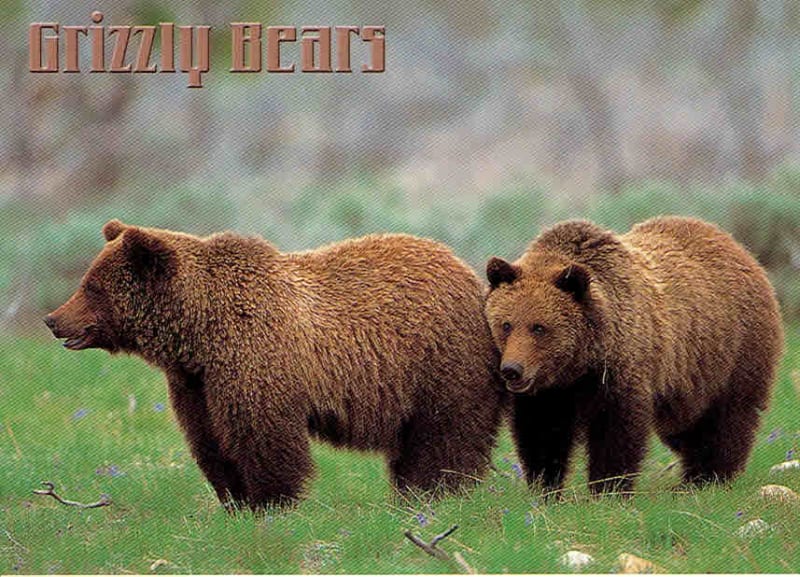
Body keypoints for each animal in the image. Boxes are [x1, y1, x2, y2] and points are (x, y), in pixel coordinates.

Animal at [45, 220, 506, 510]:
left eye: (92, 286)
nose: (53, 318)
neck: (200, 333)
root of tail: (468, 273)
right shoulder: (197, 384)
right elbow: (211, 442)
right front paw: (234, 501)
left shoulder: (255, 358)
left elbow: (262, 437)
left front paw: (271, 501)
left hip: (440, 361)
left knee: (446, 433)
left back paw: (435, 491)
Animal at [484, 216, 783, 495]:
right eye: (506, 324)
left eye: (539, 327)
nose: (512, 369)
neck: (579, 365)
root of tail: (738, 248)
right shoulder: (549, 393)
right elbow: (541, 433)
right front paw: (545, 487)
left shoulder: (620, 369)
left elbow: (616, 433)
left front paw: (608, 489)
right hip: (691, 380)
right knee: (688, 428)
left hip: (734, 354)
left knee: (728, 419)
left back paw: (712, 478)